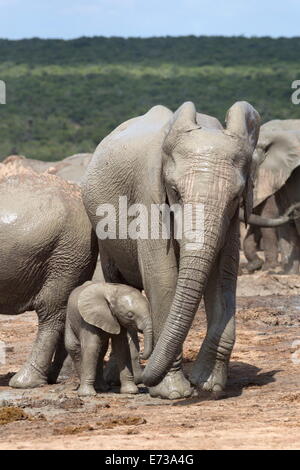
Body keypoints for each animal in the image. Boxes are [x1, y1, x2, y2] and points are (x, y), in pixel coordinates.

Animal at [82, 101, 260, 398]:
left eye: (236, 196)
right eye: (175, 191)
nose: (146, 364)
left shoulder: (232, 218)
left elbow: (223, 276)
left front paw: (208, 384)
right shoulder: (149, 194)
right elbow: (162, 276)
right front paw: (174, 393)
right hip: (103, 233)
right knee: (117, 279)